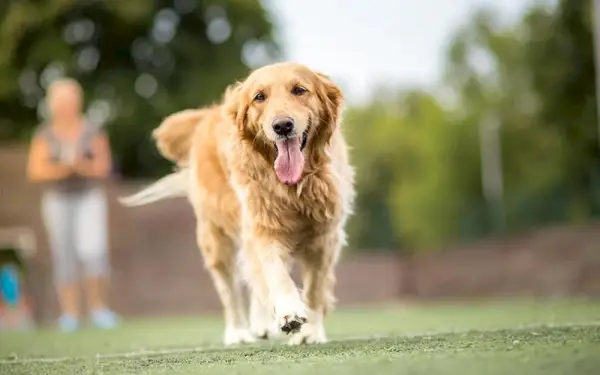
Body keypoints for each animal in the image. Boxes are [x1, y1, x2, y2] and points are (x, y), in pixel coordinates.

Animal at [122, 62, 356, 346]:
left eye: (300, 90)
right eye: (259, 97)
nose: (282, 126)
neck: (294, 188)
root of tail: (209, 114)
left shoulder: (324, 237)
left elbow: (315, 289)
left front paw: (310, 332)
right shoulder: (263, 229)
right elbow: (276, 274)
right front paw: (289, 311)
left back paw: (263, 325)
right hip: (216, 239)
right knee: (230, 290)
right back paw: (239, 332)